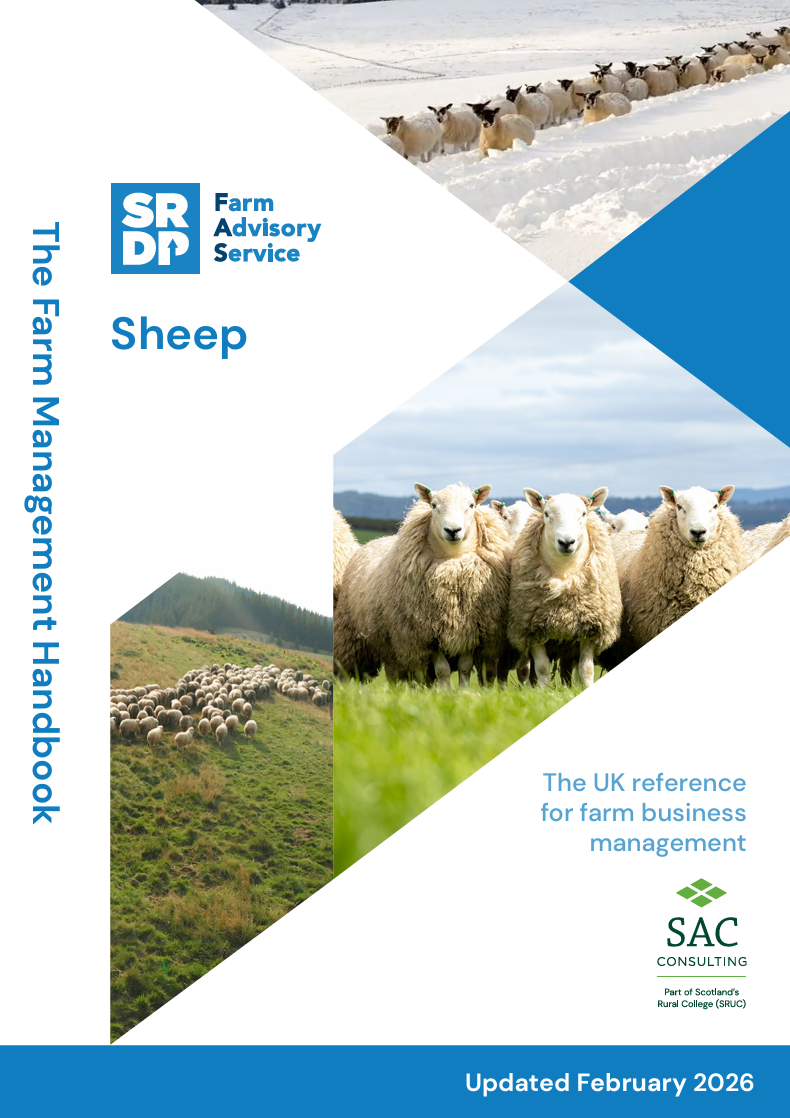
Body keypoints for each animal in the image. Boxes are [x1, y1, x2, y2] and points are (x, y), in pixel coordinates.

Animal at [508, 488, 621, 689]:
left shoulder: (590, 627)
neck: (564, 574)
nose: (566, 542)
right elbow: (542, 668)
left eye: (583, 514)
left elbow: (586, 669)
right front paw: (542, 691)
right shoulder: (533, 629)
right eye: (546, 514)